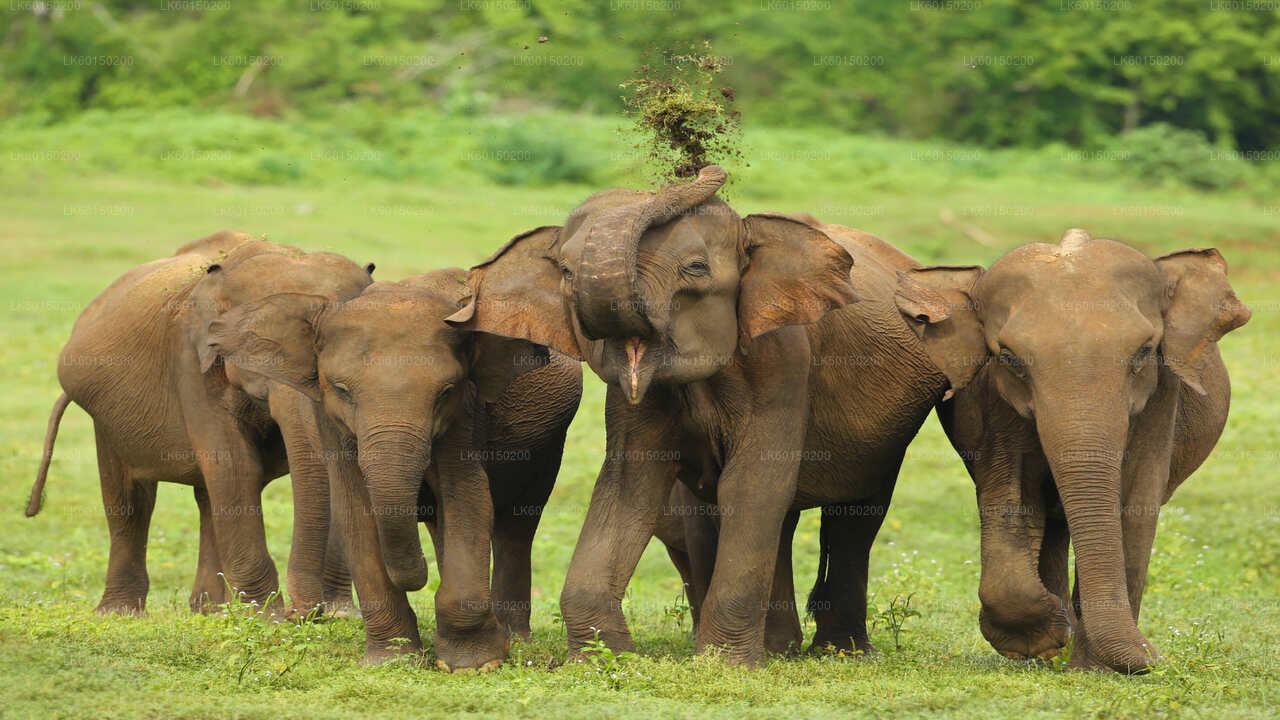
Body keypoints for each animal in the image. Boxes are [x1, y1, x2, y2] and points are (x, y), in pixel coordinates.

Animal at [27, 233, 373, 614]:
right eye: (252, 344)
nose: (306, 613)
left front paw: (340, 616)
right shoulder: (191, 361)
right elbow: (235, 465)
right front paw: (268, 617)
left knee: (206, 498)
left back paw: (210, 610)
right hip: (106, 416)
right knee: (131, 501)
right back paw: (121, 614)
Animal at [202, 267, 583, 666]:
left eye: (446, 391)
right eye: (342, 390)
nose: (417, 577)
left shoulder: (466, 411)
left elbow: (467, 497)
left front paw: (475, 664)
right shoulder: (330, 419)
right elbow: (355, 510)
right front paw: (394, 659)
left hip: (547, 442)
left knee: (517, 524)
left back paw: (514, 638)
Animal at [448, 165, 977, 666]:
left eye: (695, 269)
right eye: (564, 271)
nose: (701, 169)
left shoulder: (783, 361)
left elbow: (753, 483)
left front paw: (725, 665)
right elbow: (629, 484)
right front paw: (602, 660)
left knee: (854, 518)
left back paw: (839, 653)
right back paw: (781, 649)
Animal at [906, 226, 1254, 671]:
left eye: (1144, 352)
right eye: (1010, 359)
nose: (1156, 656)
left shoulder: (1161, 397)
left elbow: (1137, 502)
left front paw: (1095, 670)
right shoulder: (992, 400)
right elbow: (1011, 492)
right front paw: (1042, 640)